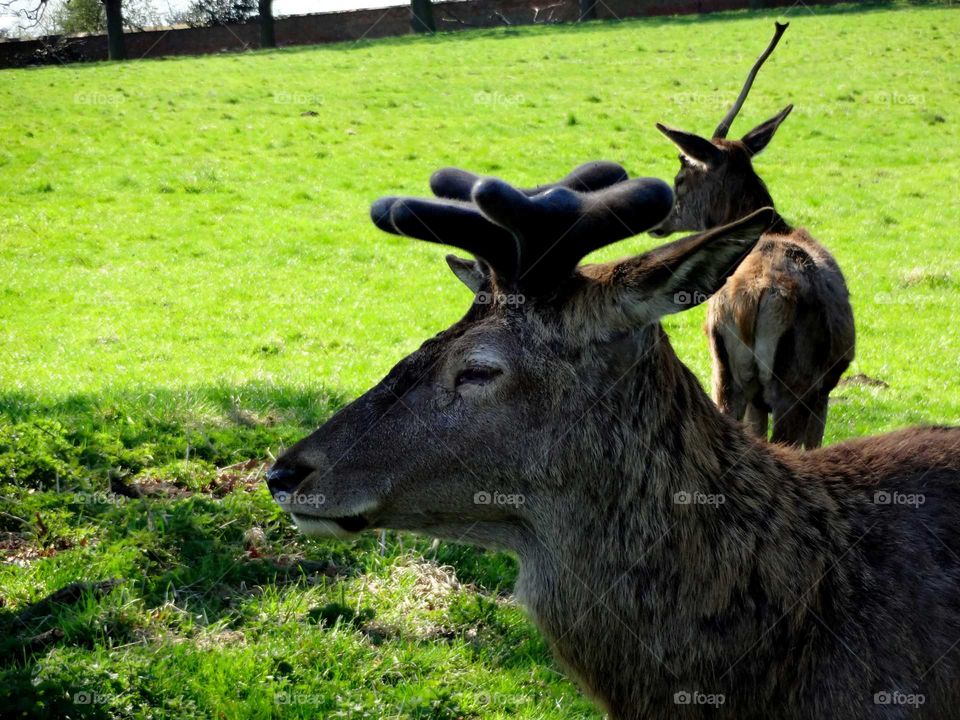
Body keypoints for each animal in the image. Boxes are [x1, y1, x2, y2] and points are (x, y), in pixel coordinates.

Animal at [652, 22, 856, 448]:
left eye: (680, 177)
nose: (657, 220)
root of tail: (754, 297)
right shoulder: (823, 390)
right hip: (795, 384)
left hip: (725, 374)